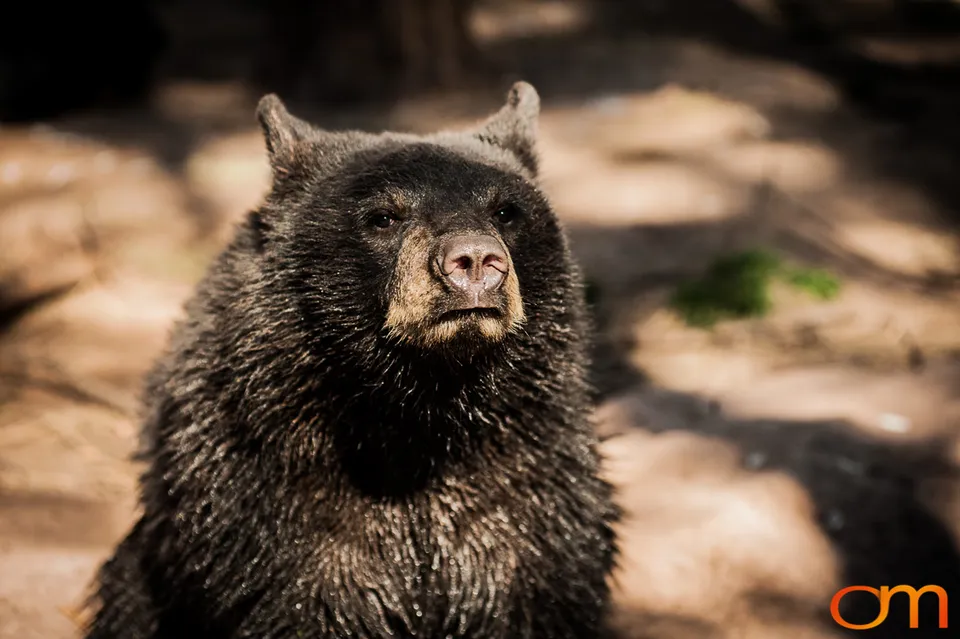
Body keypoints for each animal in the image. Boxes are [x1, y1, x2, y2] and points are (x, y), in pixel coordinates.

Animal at [83, 81, 619, 639]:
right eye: (383, 216)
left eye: (506, 211)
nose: (474, 260)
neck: (415, 412)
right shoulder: (262, 504)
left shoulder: (531, 498)